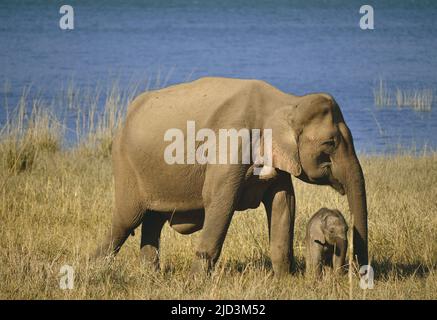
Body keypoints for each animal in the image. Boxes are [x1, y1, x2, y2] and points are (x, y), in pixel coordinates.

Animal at [93, 77, 366, 276]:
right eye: (330, 143)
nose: (358, 273)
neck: (286, 101)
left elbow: (284, 202)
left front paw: (283, 280)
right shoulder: (231, 145)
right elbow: (220, 203)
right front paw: (196, 282)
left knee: (152, 220)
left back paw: (151, 276)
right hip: (126, 166)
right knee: (126, 221)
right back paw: (94, 269)